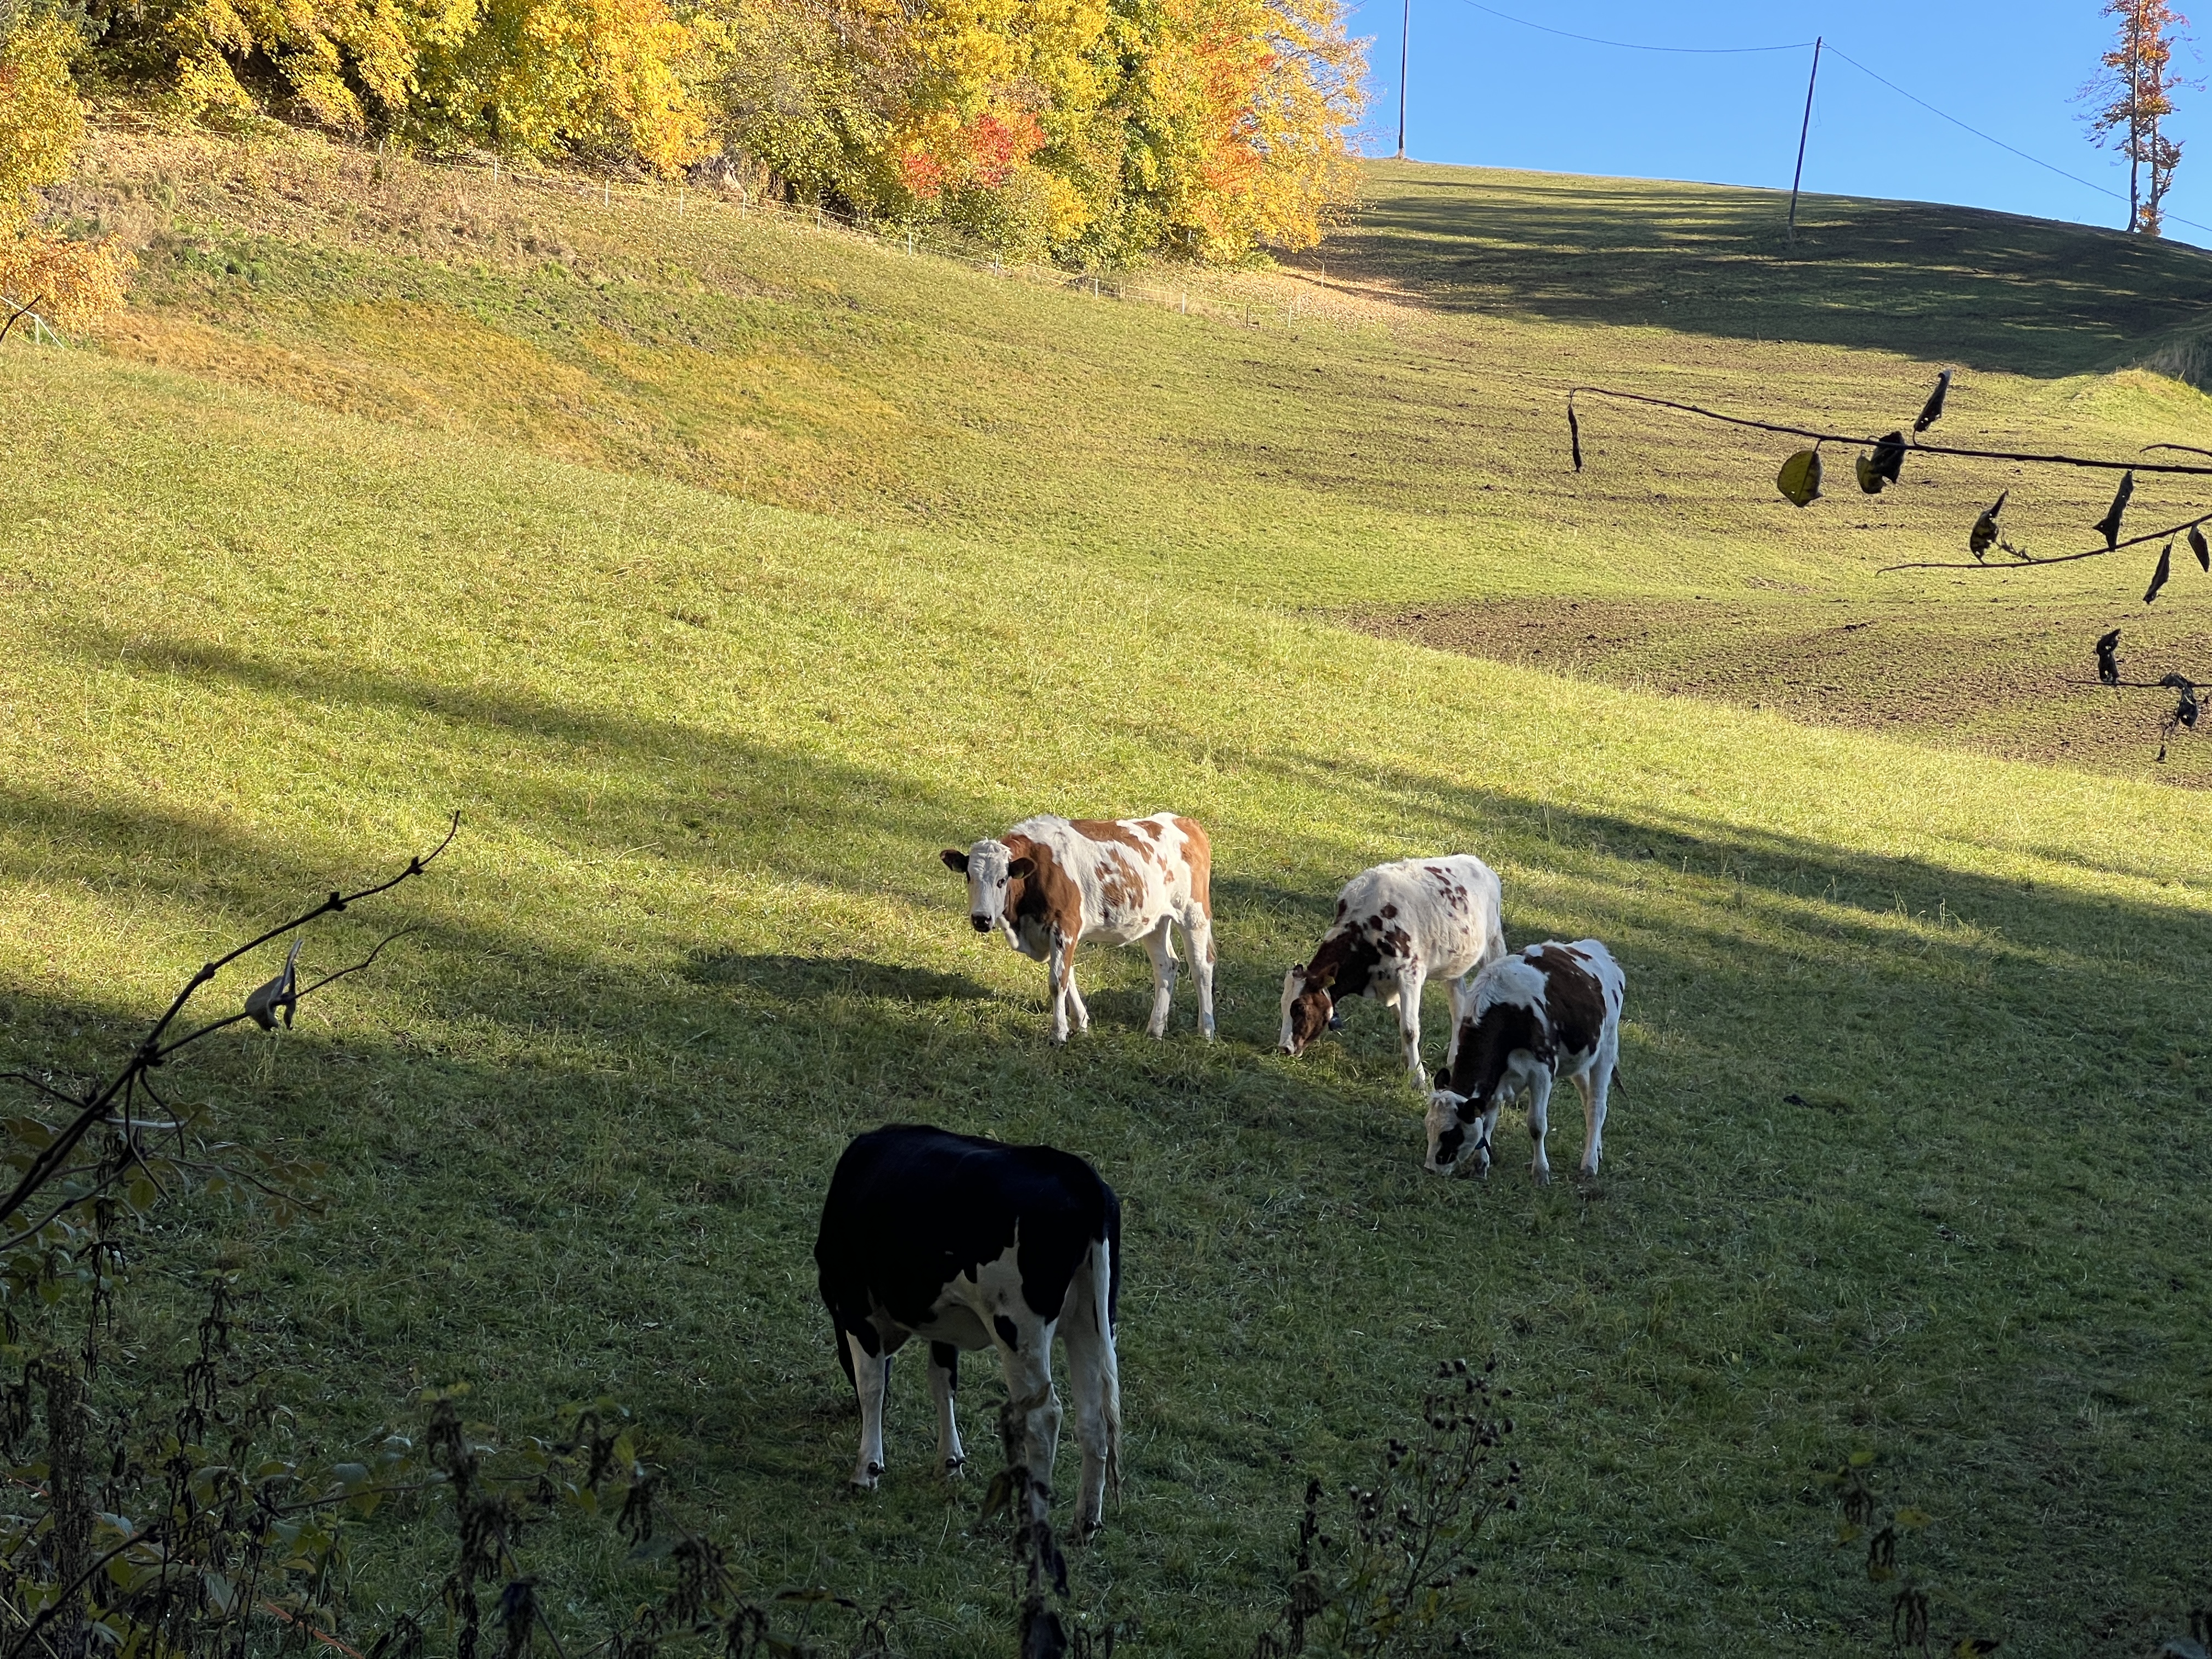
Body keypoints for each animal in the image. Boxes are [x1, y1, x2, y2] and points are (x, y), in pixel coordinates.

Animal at [814, 1124, 1123, 1536]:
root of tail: (1081, 1175)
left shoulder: (854, 1302)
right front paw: (950, 1462)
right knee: (1094, 1419)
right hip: (1091, 1322)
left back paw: (1035, 1518)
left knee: (1044, 1417)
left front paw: (868, 1470)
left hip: (1018, 1330)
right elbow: (942, 1380)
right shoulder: (944, 1321)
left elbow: (872, 1383)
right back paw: (1086, 1522)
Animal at [941, 813, 1216, 1045]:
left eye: (1002, 880)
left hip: (1194, 913)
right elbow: (1068, 975)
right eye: (969, 877)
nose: (981, 918)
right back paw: (1155, 1029)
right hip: (1155, 921)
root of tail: (1185, 822)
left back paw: (1206, 1030)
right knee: (1166, 966)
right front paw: (1080, 1023)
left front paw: (1058, 1033)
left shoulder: (1066, 926)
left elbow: (1057, 981)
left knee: (1201, 966)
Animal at [1278, 855, 1506, 1086]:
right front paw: (1408, 1064)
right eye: (1283, 1005)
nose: (1284, 1048)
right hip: (1453, 965)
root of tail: (1477, 862)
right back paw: (1453, 1059)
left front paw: (1418, 1078)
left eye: (1301, 1007)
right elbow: (1400, 1021)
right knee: (1458, 1008)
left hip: (1494, 944)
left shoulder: (1410, 973)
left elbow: (1409, 1028)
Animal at [1423, 939, 1625, 1184]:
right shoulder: (1496, 1076)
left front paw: (1541, 1173)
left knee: (1597, 1105)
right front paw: (1480, 1166)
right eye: (1428, 1128)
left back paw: (1589, 1165)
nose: (1430, 1169)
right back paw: (1596, 1150)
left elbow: (1537, 1126)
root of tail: (1596, 948)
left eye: (1451, 1134)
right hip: (1580, 1058)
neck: (1509, 1012)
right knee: (1588, 1100)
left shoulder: (1542, 1071)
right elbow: (1487, 1121)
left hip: (1606, 1047)